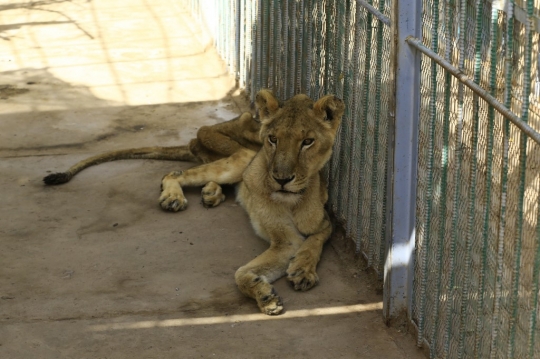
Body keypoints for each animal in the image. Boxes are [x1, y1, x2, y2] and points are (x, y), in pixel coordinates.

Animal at [158, 90, 344, 316]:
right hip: (240, 162)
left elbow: (314, 244)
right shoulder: (287, 240)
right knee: (174, 174)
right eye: (273, 139)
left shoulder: (324, 223)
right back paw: (173, 198)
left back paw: (211, 193)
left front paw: (302, 270)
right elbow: (240, 274)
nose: (282, 179)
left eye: (308, 141)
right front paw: (266, 297)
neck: (293, 202)